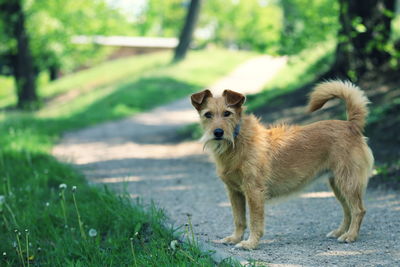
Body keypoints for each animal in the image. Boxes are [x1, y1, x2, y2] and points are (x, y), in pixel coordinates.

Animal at [191, 80, 376, 250]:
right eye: (208, 115)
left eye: (227, 113)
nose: (218, 133)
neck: (236, 142)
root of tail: (350, 125)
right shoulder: (234, 192)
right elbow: (239, 220)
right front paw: (235, 238)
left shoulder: (254, 192)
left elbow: (254, 221)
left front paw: (250, 243)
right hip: (337, 184)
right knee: (347, 210)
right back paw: (340, 232)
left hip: (348, 182)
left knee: (358, 210)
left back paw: (350, 235)